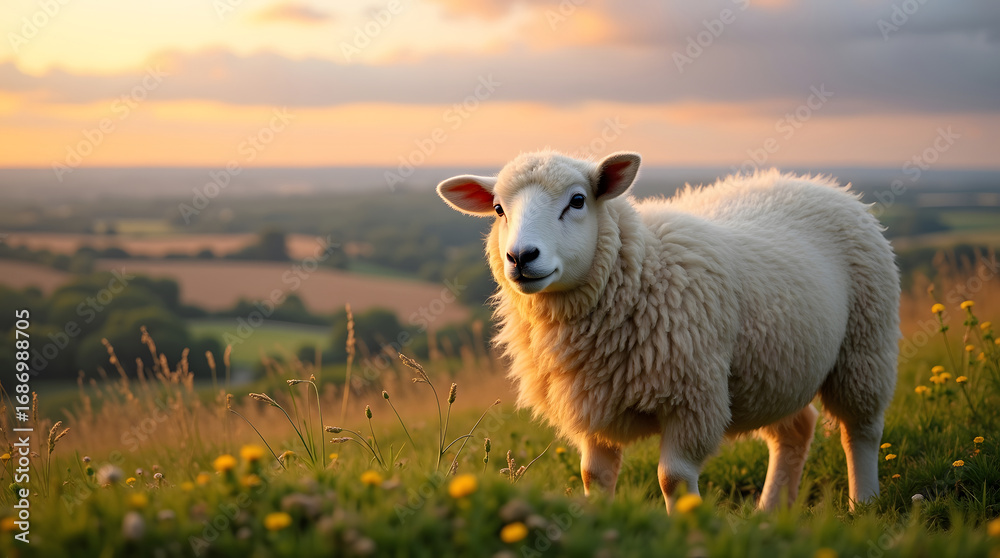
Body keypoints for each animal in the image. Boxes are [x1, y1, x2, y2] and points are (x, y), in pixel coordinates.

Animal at [436, 150, 899, 513]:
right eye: (499, 209)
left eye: (578, 200)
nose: (520, 257)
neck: (640, 269)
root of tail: (823, 185)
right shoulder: (591, 402)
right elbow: (593, 476)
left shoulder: (693, 398)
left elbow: (672, 479)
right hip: (774, 369)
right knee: (796, 429)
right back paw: (770, 512)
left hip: (865, 344)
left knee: (860, 430)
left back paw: (864, 504)